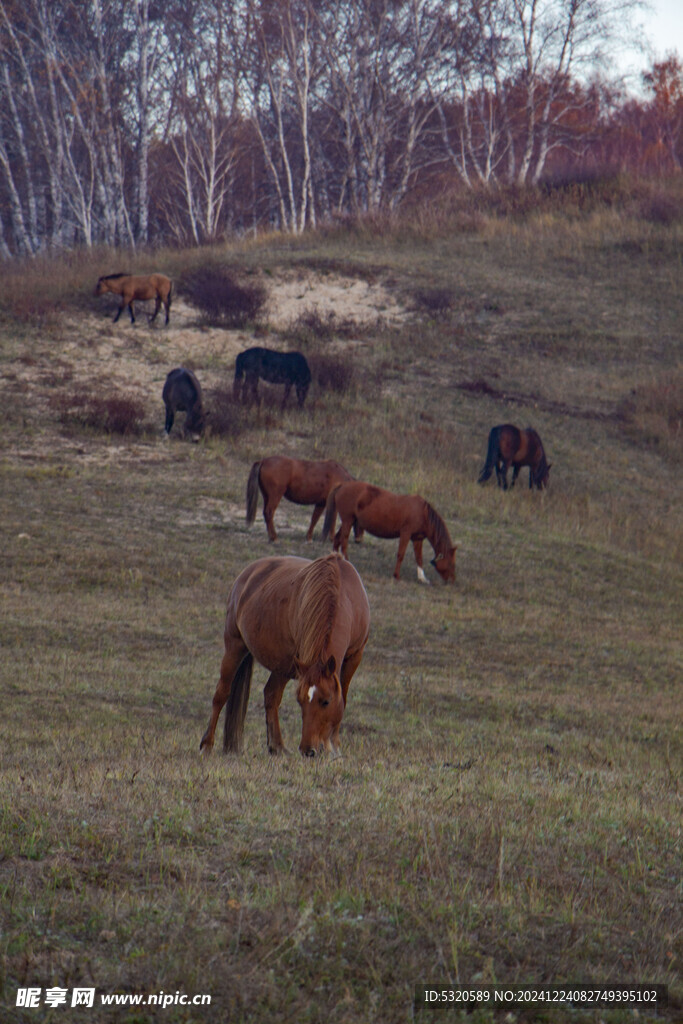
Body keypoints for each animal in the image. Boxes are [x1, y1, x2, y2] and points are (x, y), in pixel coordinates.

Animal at [198, 552, 368, 761]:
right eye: (300, 701)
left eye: (326, 701)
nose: (308, 750)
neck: (342, 595)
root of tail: (247, 573)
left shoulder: (354, 657)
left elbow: (342, 698)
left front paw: (334, 746)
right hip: (235, 646)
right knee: (222, 693)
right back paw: (207, 744)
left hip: (284, 665)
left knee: (271, 695)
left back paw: (277, 746)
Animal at [321, 481, 458, 585]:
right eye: (451, 563)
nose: (452, 581)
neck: (422, 513)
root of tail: (343, 485)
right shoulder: (405, 534)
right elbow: (401, 554)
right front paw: (396, 575)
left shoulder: (417, 539)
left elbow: (419, 558)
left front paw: (422, 578)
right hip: (348, 520)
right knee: (344, 540)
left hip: (348, 521)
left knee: (338, 538)